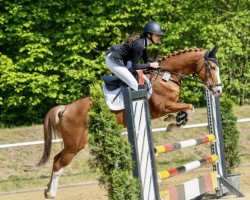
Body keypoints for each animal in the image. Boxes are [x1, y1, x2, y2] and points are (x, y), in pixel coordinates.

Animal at [36, 45, 221, 198]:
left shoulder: (171, 104)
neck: (167, 76)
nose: (218, 90)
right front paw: (172, 123)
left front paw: (173, 122)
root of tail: (65, 109)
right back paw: (51, 193)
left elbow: (185, 110)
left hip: (73, 143)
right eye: (212, 68)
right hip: (75, 144)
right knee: (59, 163)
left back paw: (46, 190)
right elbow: (189, 106)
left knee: (56, 159)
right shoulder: (163, 106)